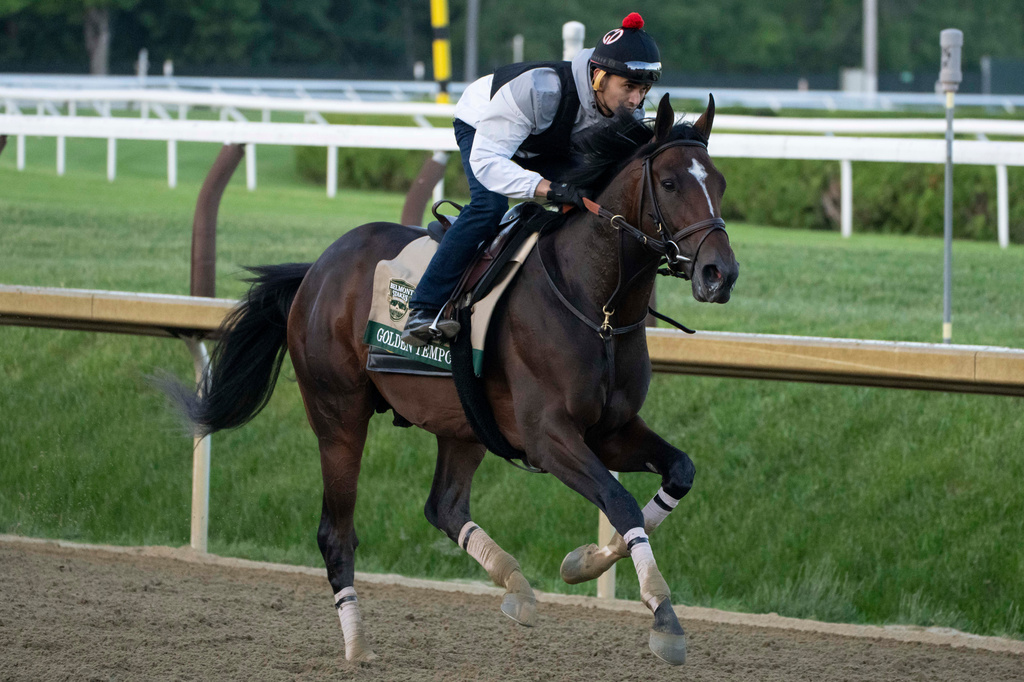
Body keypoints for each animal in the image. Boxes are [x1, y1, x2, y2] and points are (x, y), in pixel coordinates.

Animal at [167, 94, 739, 666]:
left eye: (720, 181)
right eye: (670, 183)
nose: (721, 273)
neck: (593, 306)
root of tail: (317, 270)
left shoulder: (610, 430)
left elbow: (677, 474)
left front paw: (585, 561)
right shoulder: (548, 435)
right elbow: (618, 500)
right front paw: (664, 617)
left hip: (462, 421)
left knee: (443, 506)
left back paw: (516, 588)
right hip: (338, 414)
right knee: (336, 532)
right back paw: (356, 644)